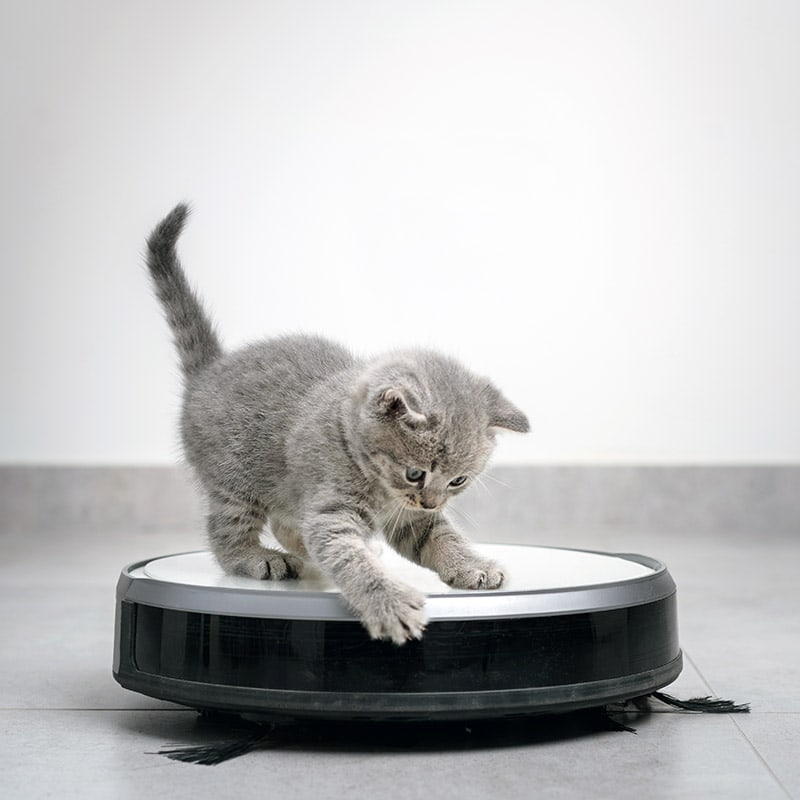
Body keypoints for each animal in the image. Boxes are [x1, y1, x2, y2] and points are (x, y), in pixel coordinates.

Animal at [146, 205, 528, 644]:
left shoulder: (409, 517)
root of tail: (210, 370)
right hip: (236, 481)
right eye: (415, 473)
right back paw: (256, 557)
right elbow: (349, 557)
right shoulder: (334, 512)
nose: (432, 501)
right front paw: (390, 604)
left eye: (457, 481)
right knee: (225, 531)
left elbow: (440, 536)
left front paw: (472, 564)